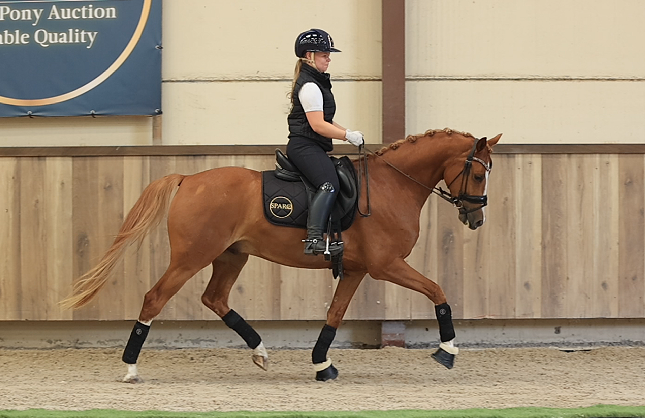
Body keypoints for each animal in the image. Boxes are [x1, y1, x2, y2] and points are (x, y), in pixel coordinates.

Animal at [60, 128, 501, 383]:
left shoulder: (357, 270)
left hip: (231, 256)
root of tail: (188, 179)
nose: (476, 218)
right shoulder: (386, 266)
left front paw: (322, 365)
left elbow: (334, 315)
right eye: (479, 174)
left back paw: (260, 352)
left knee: (215, 298)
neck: (393, 186)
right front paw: (447, 351)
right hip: (191, 257)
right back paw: (130, 368)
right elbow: (438, 291)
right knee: (155, 298)